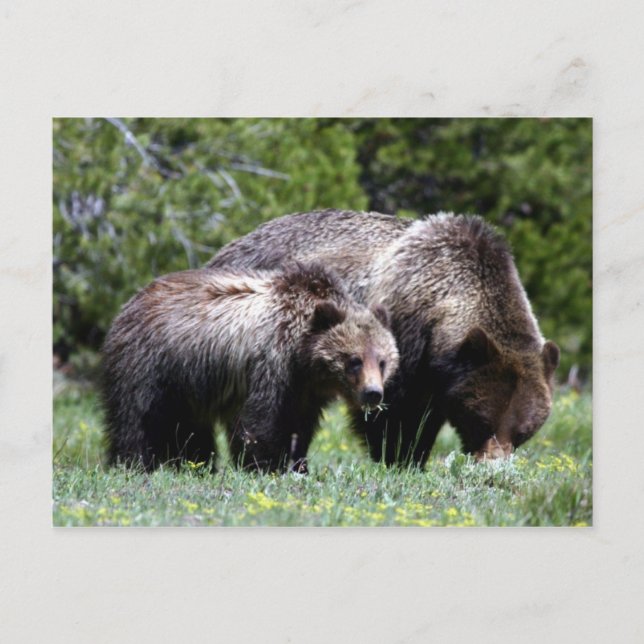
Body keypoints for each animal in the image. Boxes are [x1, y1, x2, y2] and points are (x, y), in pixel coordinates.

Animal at [101, 261, 399, 473]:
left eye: (382, 361)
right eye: (354, 360)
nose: (373, 393)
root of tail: (132, 300)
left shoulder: (304, 391)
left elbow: (299, 427)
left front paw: (298, 464)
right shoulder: (269, 364)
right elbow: (260, 420)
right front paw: (265, 466)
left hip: (187, 385)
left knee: (188, 429)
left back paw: (195, 465)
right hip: (150, 364)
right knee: (138, 418)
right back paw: (133, 463)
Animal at [207, 209, 560, 465]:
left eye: (524, 431)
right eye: (482, 420)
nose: (492, 464)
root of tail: (225, 249)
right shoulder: (403, 334)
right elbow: (394, 411)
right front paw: (401, 457)